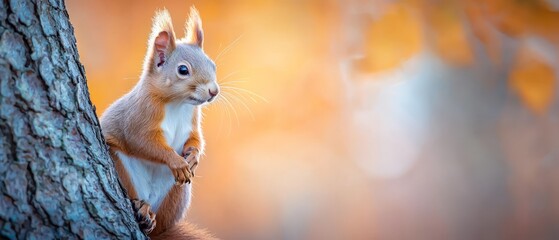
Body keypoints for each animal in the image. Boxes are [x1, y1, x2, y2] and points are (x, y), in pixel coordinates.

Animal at [100, 6, 219, 239]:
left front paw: (193, 156)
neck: (178, 104)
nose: (213, 91)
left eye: (213, 65)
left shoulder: (192, 121)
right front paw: (177, 162)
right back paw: (141, 208)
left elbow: (196, 139)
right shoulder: (139, 118)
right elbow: (144, 143)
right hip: (120, 166)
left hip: (177, 193)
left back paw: (151, 219)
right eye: (183, 70)